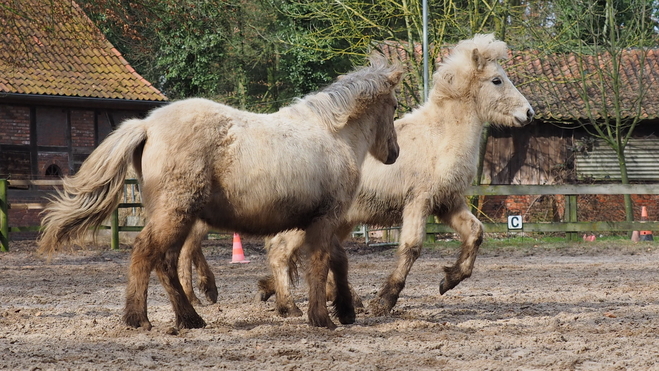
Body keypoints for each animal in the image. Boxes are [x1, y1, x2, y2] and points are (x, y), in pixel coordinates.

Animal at [40, 56, 408, 330]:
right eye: (393, 105)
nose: (394, 153)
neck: (333, 135)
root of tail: (146, 125)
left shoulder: (322, 221)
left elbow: (338, 260)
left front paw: (345, 310)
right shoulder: (326, 218)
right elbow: (321, 263)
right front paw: (322, 318)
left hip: (179, 217)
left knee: (167, 261)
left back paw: (189, 318)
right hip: (175, 214)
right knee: (147, 254)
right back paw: (139, 318)